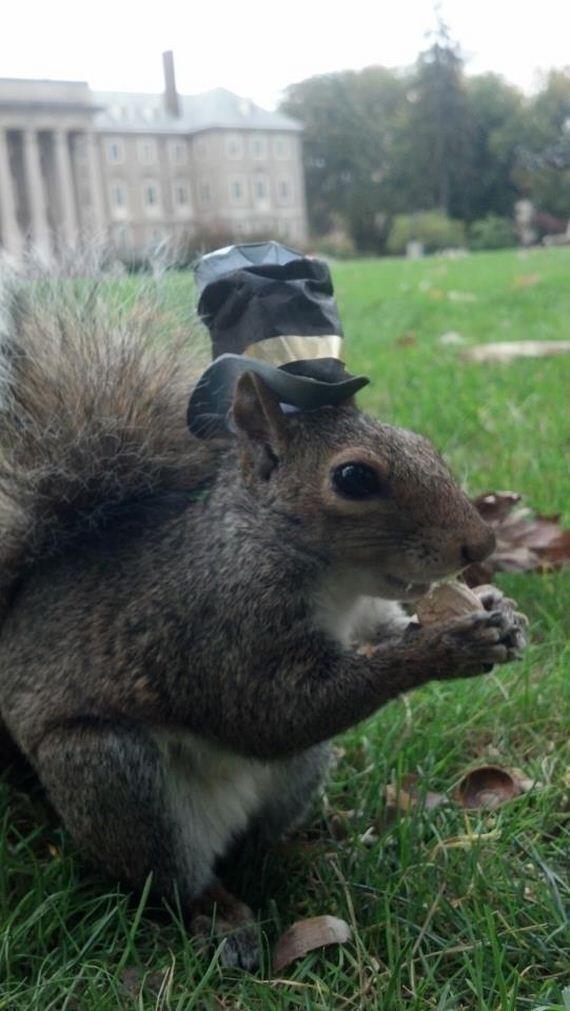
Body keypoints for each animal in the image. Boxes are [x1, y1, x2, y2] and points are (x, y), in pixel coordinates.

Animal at [0, 248, 525, 966]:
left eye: (423, 443)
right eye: (353, 477)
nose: (480, 544)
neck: (329, 578)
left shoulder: (363, 611)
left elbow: (371, 641)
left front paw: (499, 608)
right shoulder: (217, 618)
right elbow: (270, 709)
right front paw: (447, 648)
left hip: (298, 771)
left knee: (260, 833)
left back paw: (307, 849)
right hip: (113, 776)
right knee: (168, 876)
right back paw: (222, 916)